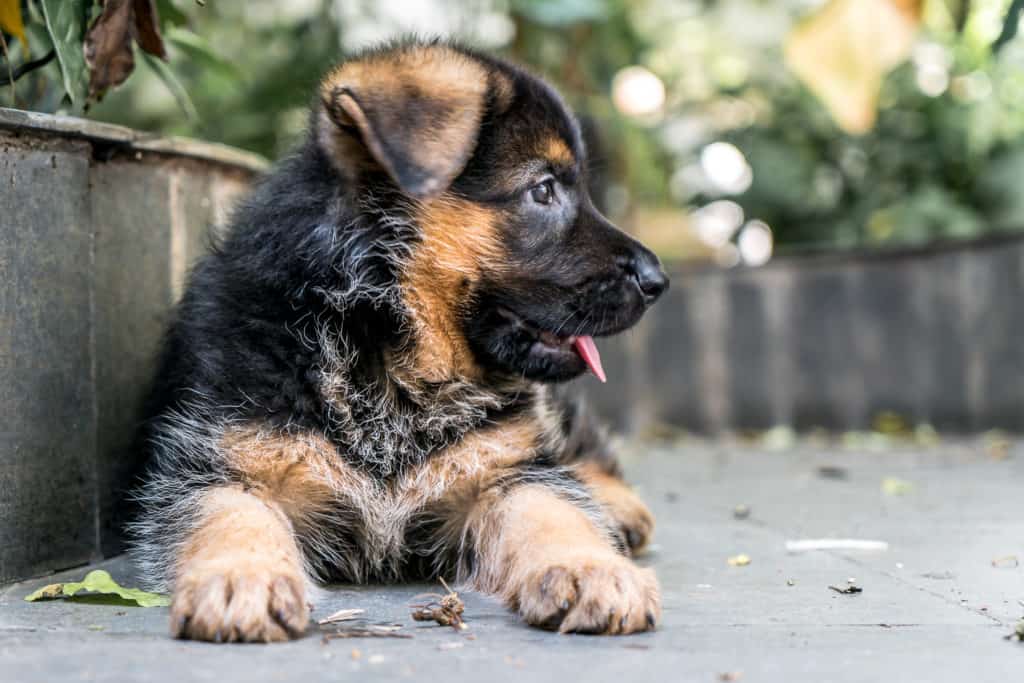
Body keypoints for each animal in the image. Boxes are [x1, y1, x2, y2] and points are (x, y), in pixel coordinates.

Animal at [130, 41, 671, 643]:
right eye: (544, 189)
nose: (659, 280)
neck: (385, 352)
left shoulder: (505, 472)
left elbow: (553, 510)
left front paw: (590, 567)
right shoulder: (218, 467)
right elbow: (230, 517)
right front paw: (240, 578)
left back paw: (616, 507)